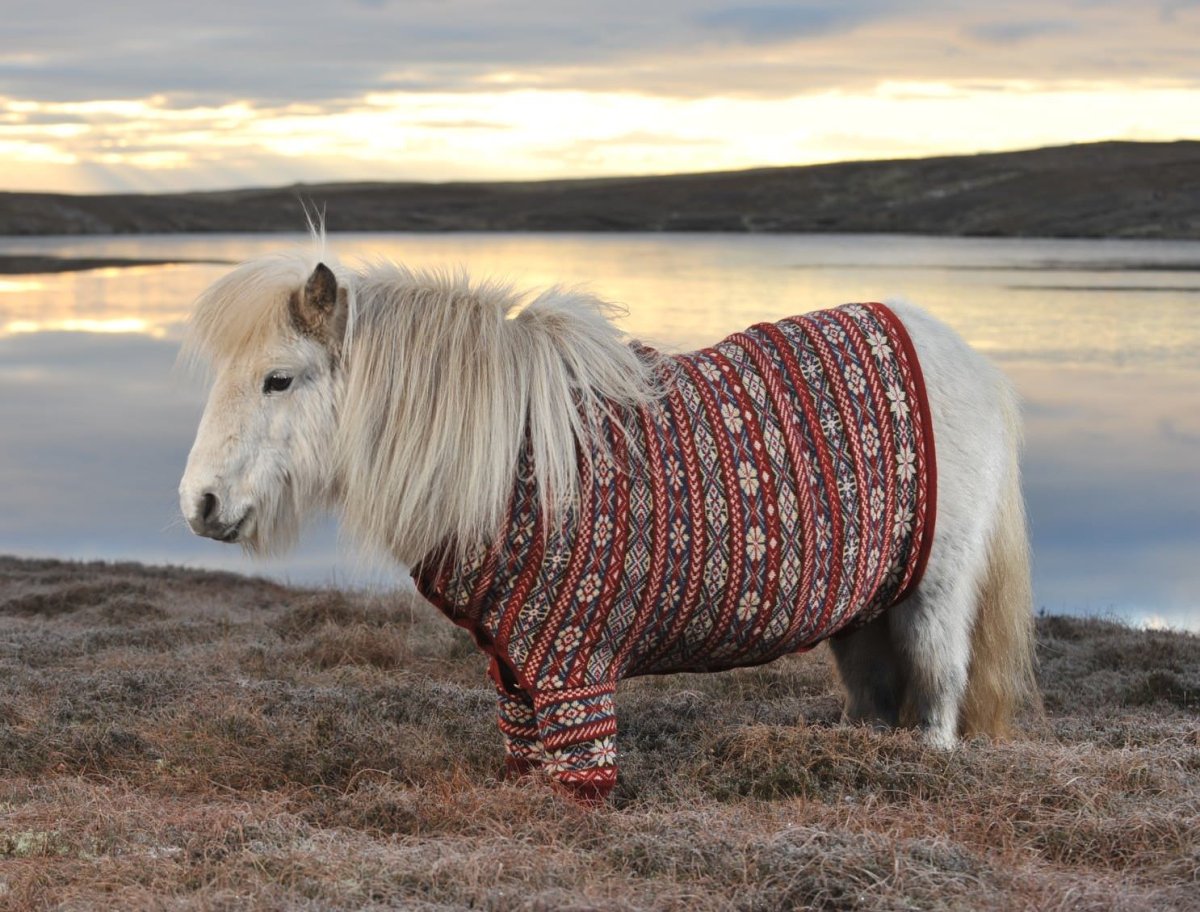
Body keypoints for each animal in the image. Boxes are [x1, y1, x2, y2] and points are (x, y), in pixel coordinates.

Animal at [179, 240, 1037, 802]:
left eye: (278, 380)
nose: (199, 505)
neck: (508, 458)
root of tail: (961, 354)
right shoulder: (516, 670)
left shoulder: (571, 666)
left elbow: (580, 768)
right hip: (863, 610)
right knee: (874, 701)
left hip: (933, 595)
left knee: (940, 689)